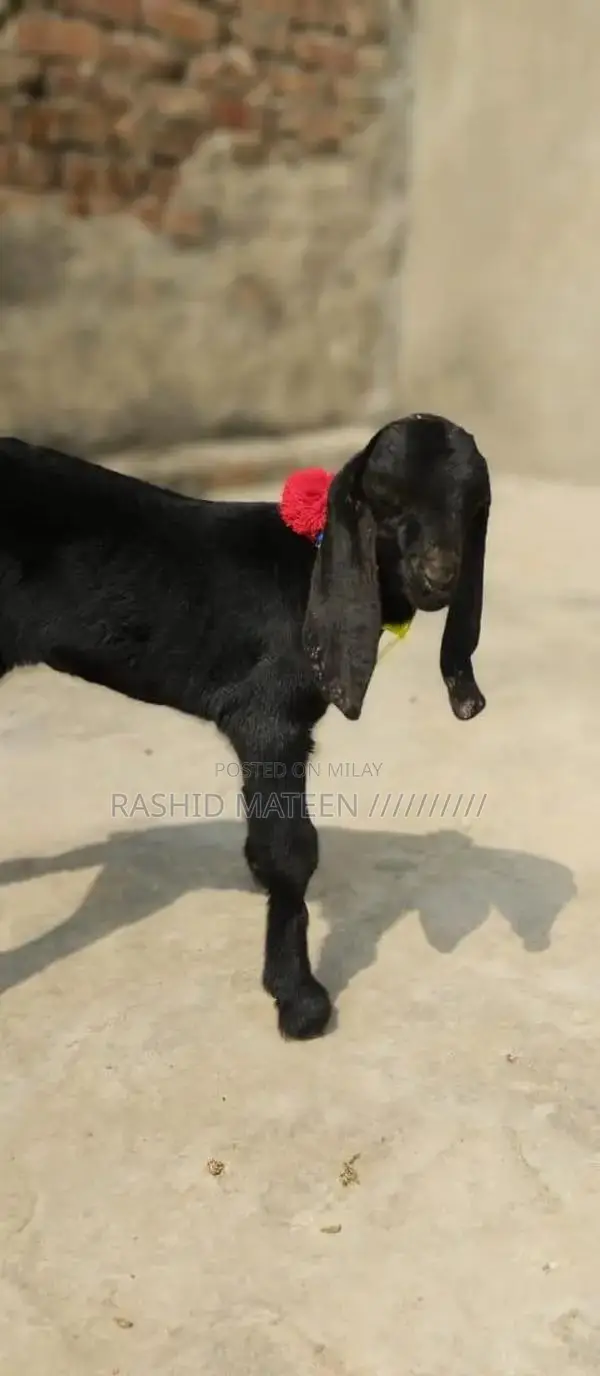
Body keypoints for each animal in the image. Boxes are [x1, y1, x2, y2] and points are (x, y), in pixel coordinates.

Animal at [0, 415, 491, 1039]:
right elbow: (291, 851)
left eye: (473, 504)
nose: (439, 576)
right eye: (385, 497)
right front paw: (300, 999)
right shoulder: (270, 722)